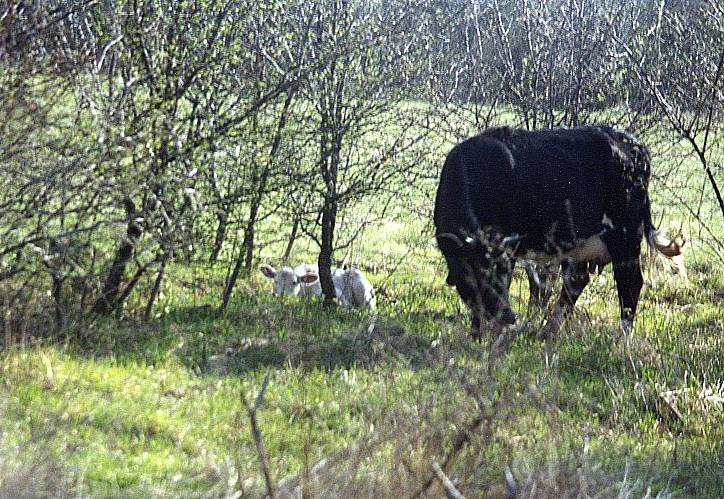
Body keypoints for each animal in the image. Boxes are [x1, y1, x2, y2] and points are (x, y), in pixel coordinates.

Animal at [436, 127, 684, 342]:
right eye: (482, 274)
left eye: (502, 274)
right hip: (582, 244)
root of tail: (631, 143)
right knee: (576, 281)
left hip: (625, 236)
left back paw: (623, 336)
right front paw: (476, 335)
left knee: (630, 283)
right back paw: (549, 330)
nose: (508, 317)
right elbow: (472, 300)